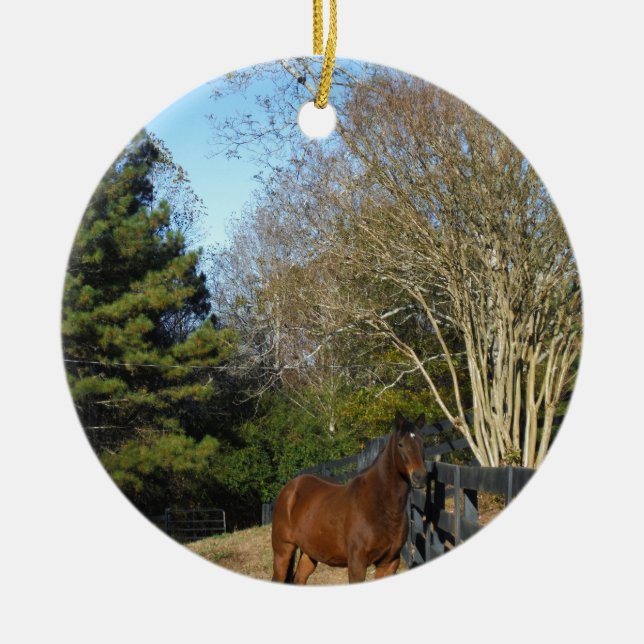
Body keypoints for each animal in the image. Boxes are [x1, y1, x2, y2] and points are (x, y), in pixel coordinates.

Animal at [271, 411, 428, 584]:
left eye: (422, 442)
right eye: (400, 444)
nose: (420, 477)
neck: (381, 506)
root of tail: (289, 489)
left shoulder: (389, 563)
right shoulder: (357, 563)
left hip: (309, 552)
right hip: (283, 550)